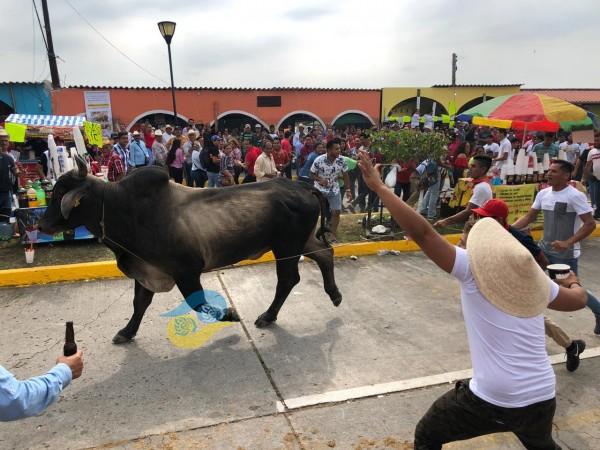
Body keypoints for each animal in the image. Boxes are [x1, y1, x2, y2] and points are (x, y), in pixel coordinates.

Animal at [39, 156, 342, 342]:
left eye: (61, 194)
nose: (41, 224)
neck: (125, 209)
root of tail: (301, 185)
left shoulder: (186, 272)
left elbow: (199, 303)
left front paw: (231, 315)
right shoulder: (146, 270)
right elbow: (139, 304)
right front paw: (126, 331)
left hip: (286, 245)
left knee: (288, 279)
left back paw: (268, 315)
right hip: (300, 241)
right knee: (325, 254)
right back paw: (334, 295)